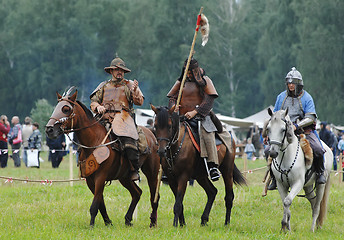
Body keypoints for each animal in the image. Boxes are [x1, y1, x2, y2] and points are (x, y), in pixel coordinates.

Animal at [44, 88, 161, 227]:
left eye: (66, 109)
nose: (49, 130)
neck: (93, 141)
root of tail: (152, 135)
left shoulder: (100, 177)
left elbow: (95, 204)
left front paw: (91, 225)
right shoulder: (90, 180)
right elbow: (100, 203)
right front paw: (108, 222)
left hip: (151, 173)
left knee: (154, 196)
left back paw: (153, 222)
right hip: (124, 177)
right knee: (137, 193)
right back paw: (128, 219)